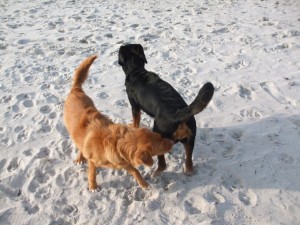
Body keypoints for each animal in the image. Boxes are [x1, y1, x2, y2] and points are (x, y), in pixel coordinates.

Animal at [64, 55, 175, 191]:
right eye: (159, 145)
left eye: (160, 136)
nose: (172, 142)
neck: (117, 142)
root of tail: (76, 90)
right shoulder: (94, 162)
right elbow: (92, 174)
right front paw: (93, 187)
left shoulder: (123, 161)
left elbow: (135, 171)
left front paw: (143, 183)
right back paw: (80, 158)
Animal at [118, 44, 214, 177]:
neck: (136, 70)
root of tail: (179, 113)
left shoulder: (135, 107)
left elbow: (136, 122)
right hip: (190, 141)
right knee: (189, 162)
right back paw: (188, 171)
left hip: (159, 133)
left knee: (162, 164)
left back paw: (155, 173)